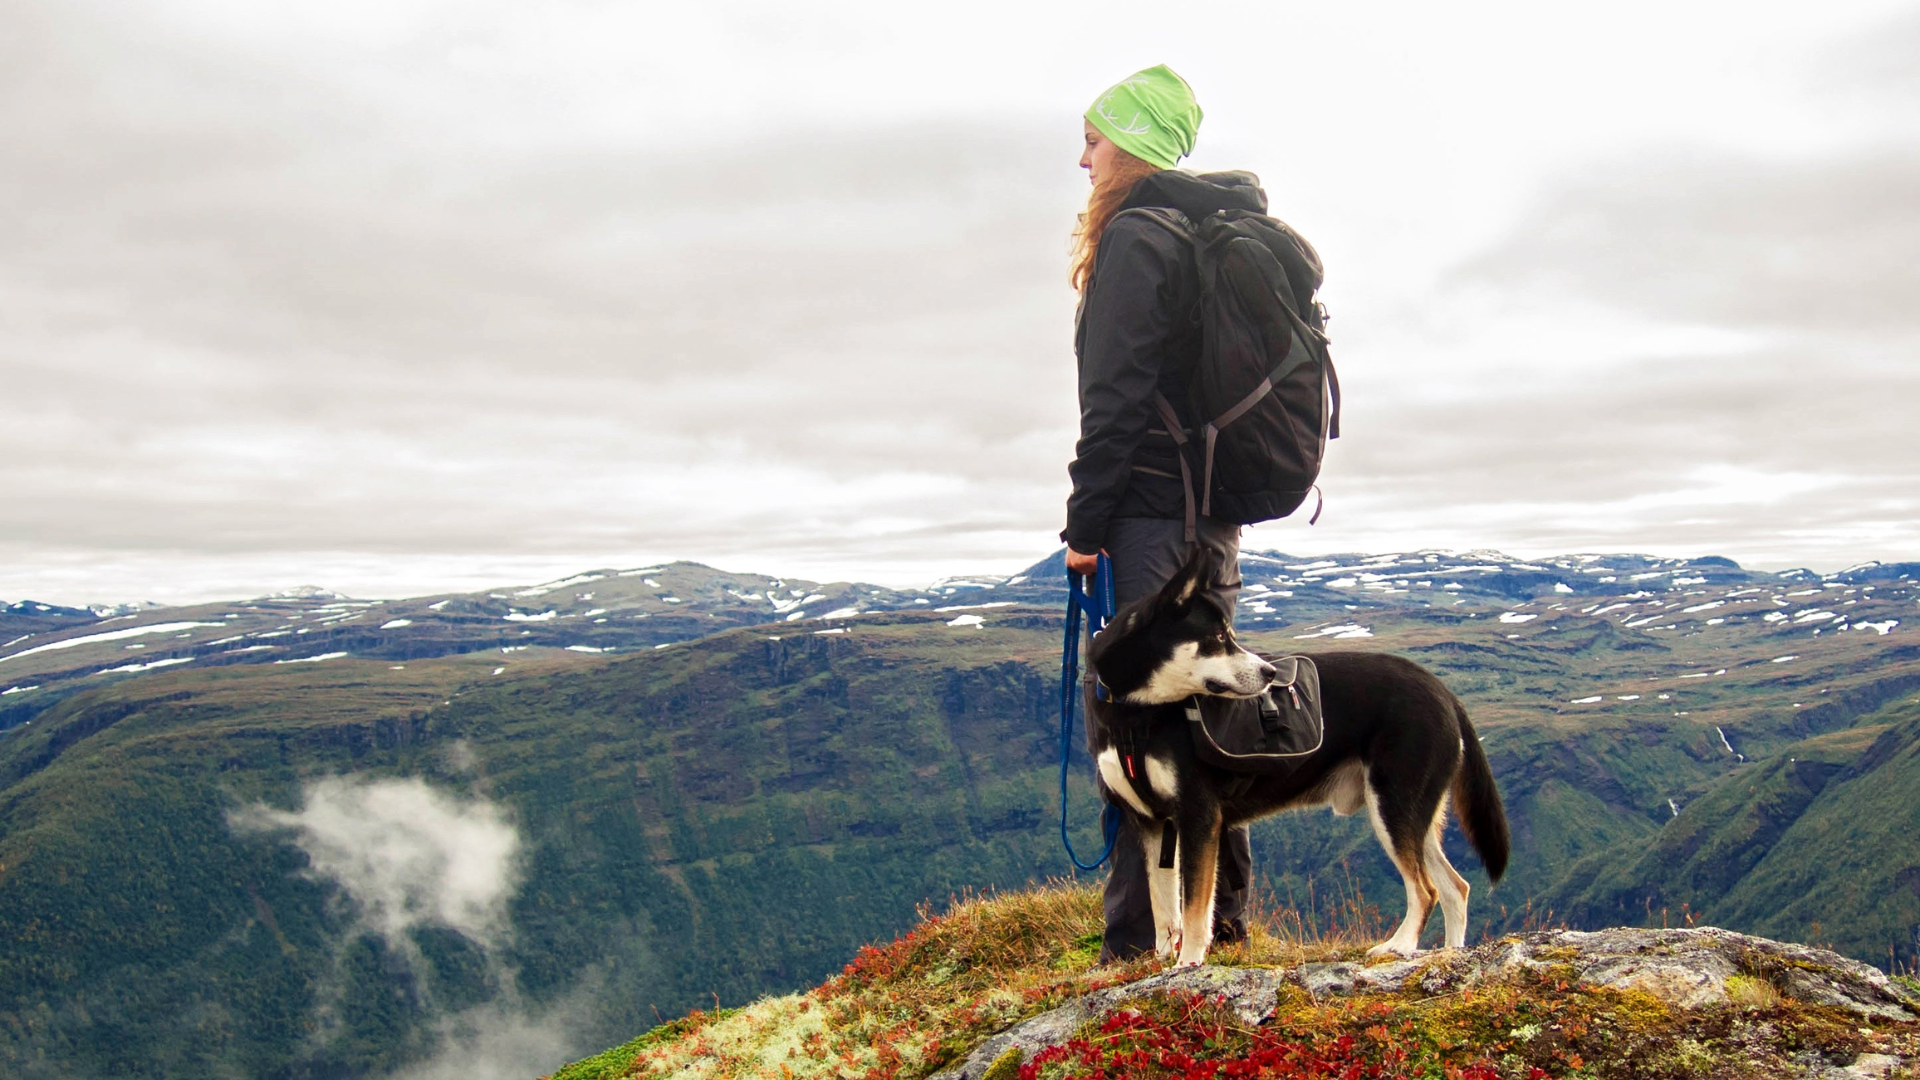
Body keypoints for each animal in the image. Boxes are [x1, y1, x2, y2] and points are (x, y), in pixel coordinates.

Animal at [1090, 549, 1505, 960]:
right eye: (1219, 638)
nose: (1270, 673)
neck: (1135, 713)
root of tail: (1445, 693)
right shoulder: (1152, 824)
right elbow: (1163, 908)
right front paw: (1162, 962)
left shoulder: (1198, 817)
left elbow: (1193, 911)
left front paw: (1188, 963)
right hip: (1414, 815)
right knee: (1456, 888)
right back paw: (1451, 953)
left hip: (1393, 807)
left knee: (1426, 889)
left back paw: (1398, 945)